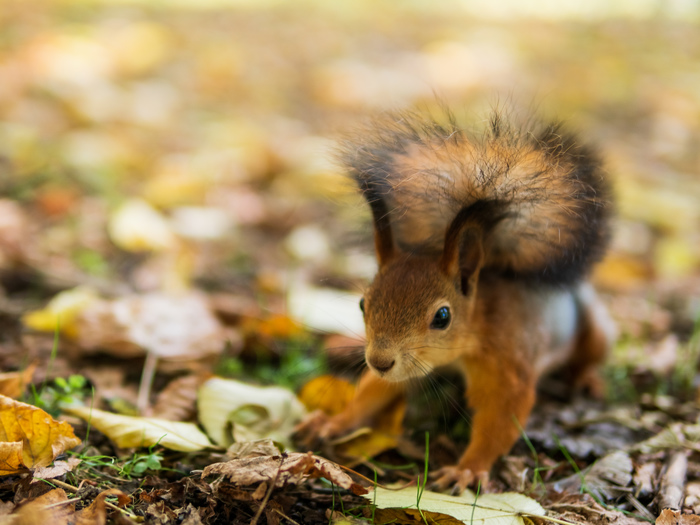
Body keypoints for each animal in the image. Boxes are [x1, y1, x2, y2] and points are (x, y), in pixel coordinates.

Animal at [296, 108, 612, 494]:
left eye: (442, 316)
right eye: (361, 304)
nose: (379, 361)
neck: (474, 328)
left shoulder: (505, 361)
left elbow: (502, 415)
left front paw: (468, 468)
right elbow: (374, 392)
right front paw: (333, 422)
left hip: (595, 330)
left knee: (590, 354)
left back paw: (588, 379)